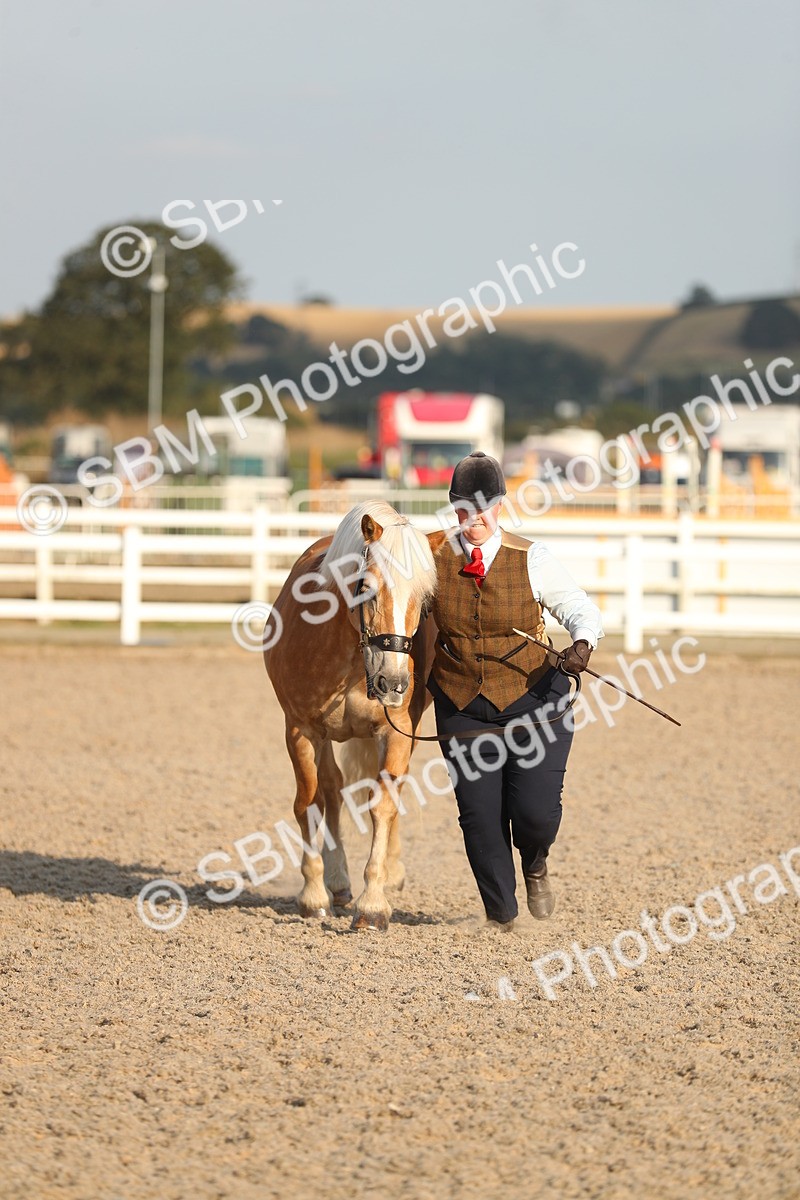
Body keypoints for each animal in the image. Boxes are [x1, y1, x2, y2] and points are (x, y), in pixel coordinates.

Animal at [264, 501, 439, 931]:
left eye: (425, 598)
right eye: (368, 588)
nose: (394, 682)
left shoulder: (398, 732)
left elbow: (384, 804)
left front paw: (373, 902)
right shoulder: (301, 731)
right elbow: (309, 803)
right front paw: (313, 895)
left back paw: (389, 872)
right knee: (331, 790)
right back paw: (338, 880)